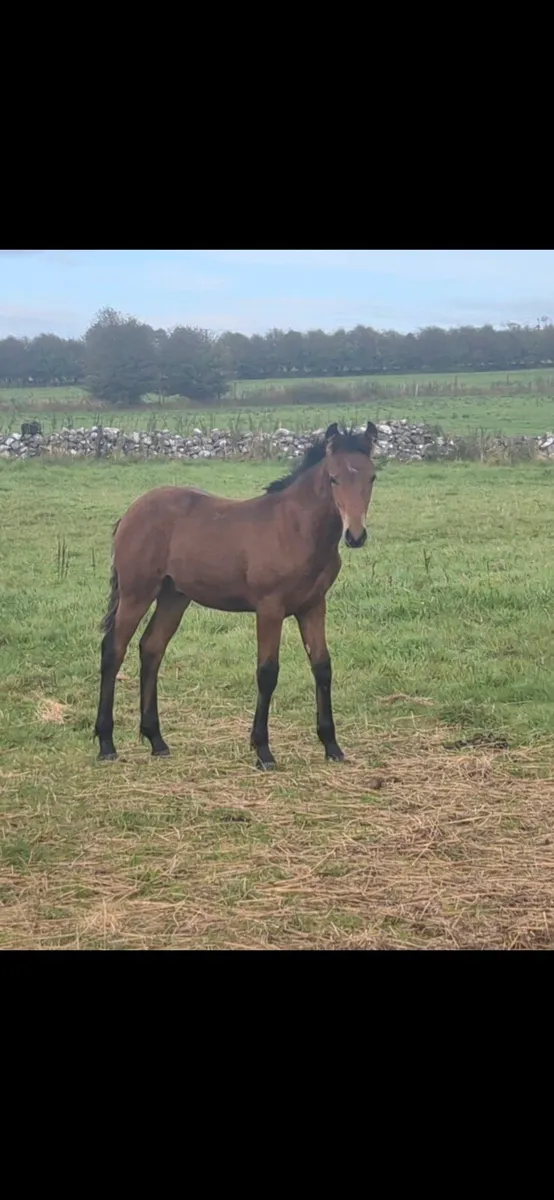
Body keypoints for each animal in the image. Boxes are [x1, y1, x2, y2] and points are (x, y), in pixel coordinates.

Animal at [94, 421, 378, 769]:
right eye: (334, 478)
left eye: (371, 477)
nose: (355, 535)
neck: (296, 529)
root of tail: (131, 511)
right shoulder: (270, 607)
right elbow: (267, 672)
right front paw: (263, 750)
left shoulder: (313, 606)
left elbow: (323, 667)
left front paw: (332, 746)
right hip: (137, 592)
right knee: (113, 650)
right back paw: (106, 743)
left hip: (174, 596)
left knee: (151, 649)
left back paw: (157, 740)